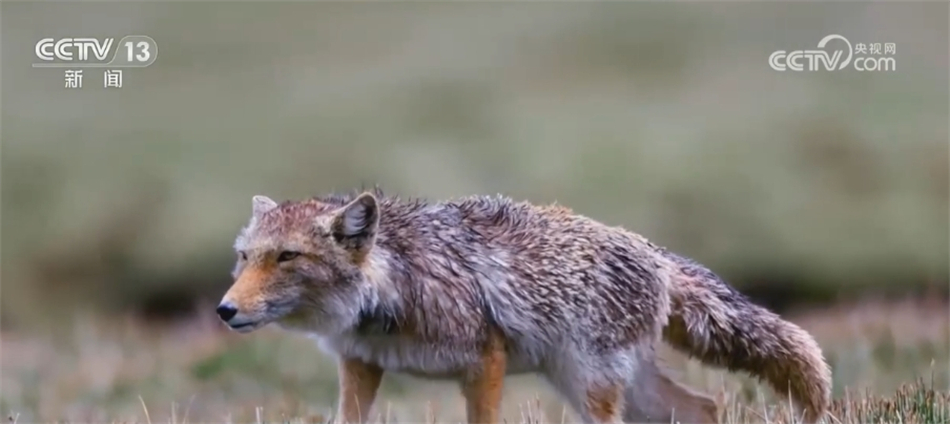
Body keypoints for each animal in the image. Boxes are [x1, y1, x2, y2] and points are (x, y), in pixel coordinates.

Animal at [218, 190, 832, 424]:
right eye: (245, 258)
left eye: (287, 257)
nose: (224, 310)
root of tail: (654, 252)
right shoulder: (361, 364)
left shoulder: (483, 363)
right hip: (610, 386)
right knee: (704, 406)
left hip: (590, 387)